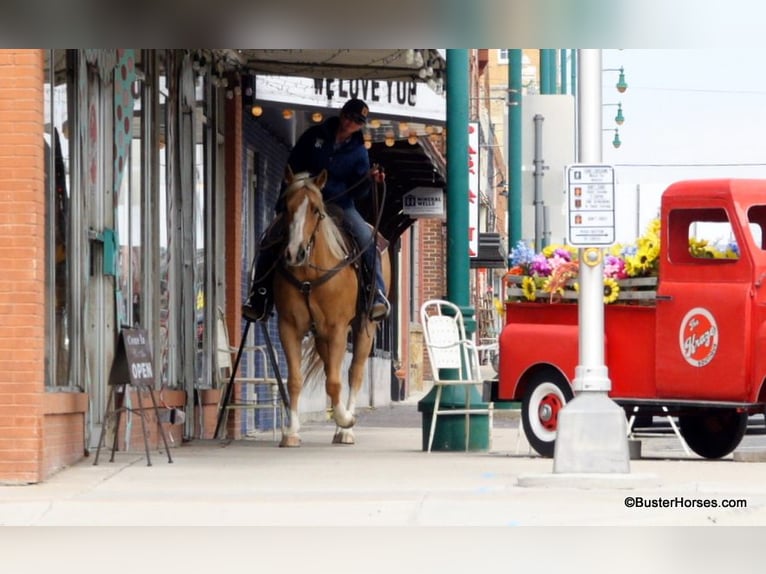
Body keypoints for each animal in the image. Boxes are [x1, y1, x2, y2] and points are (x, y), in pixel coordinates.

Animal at [274, 169, 390, 448]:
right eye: (286, 206)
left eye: (316, 209)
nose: (294, 253)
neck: (308, 273)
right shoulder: (289, 326)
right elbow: (295, 380)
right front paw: (291, 431)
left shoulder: (337, 328)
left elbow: (336, 382)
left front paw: (345, 421)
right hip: (320, 335)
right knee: (330, 369)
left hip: (364, 326)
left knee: (353, 373)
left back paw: (345, 428)